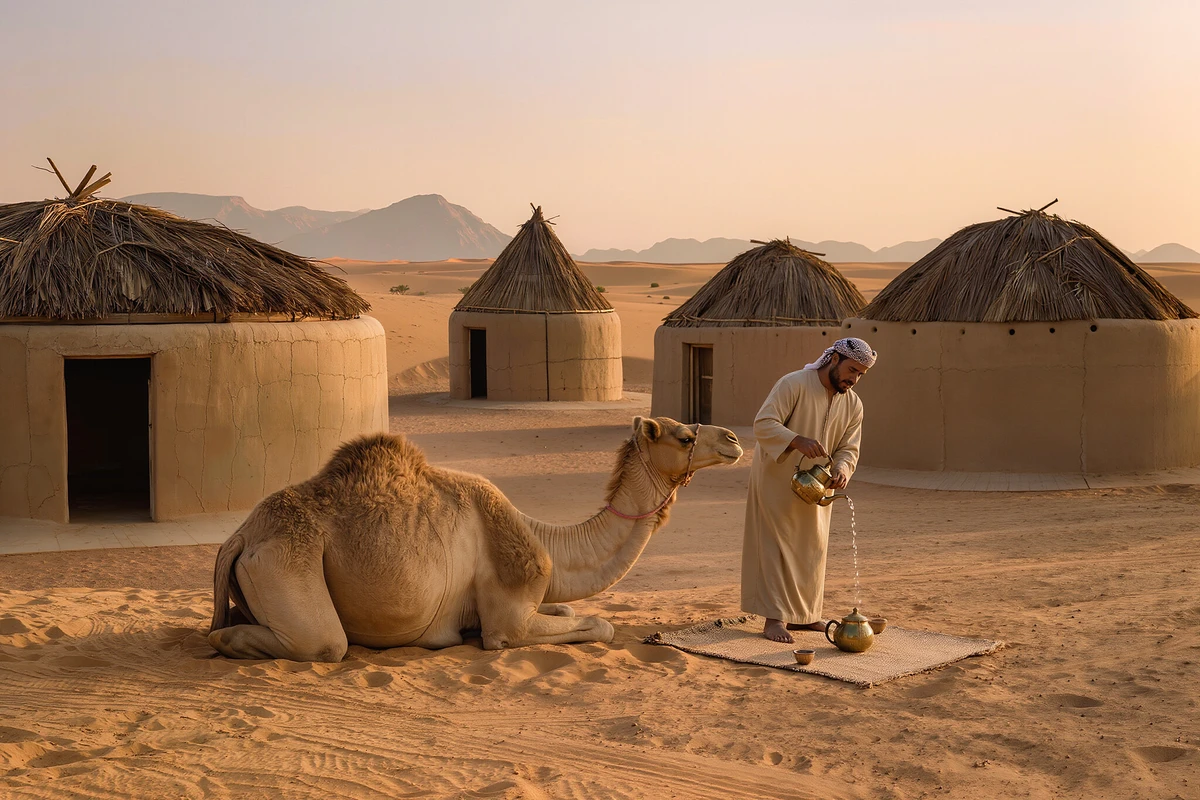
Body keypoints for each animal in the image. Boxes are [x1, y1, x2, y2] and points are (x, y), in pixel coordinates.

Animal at [208, 416, 742, 661]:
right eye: (683, 437)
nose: (734, 439)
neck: (547, 542)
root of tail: (240, 537)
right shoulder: (508, 618)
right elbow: (598, 624)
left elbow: (570, 611)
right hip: (285, 566)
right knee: (318, 643)